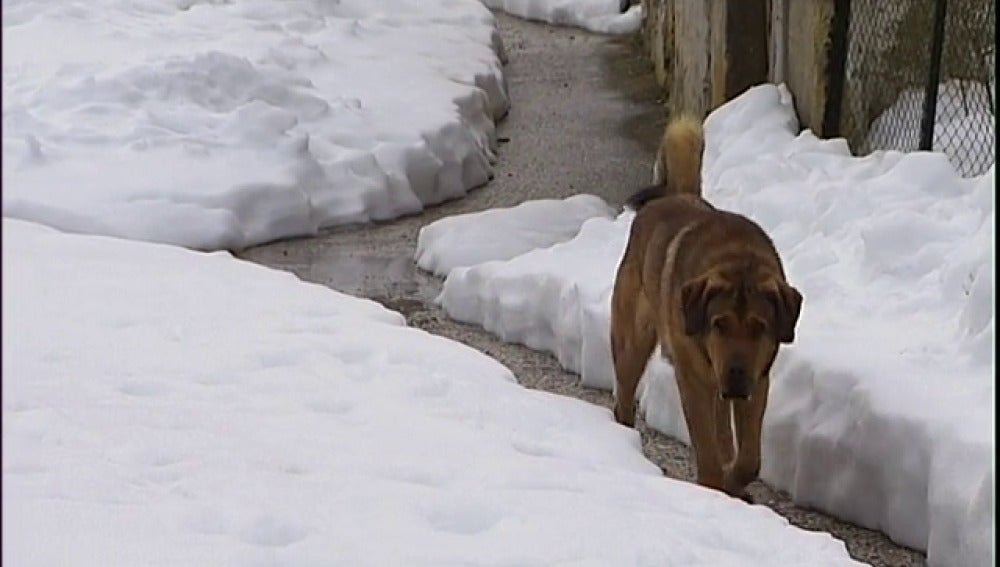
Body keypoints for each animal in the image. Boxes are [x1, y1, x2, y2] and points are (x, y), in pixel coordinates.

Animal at [608, 115, 804, 502]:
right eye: (718, 323)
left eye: (760, 327)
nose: (736, 372)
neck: (738, 263)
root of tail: (676, 195)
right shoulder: (694, 381)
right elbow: (708, 449)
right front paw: (715, 490)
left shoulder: (758, 379)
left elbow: (750, 458)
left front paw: (734, 482)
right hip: (634, 338)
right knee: (624, 389)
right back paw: (623, 440)